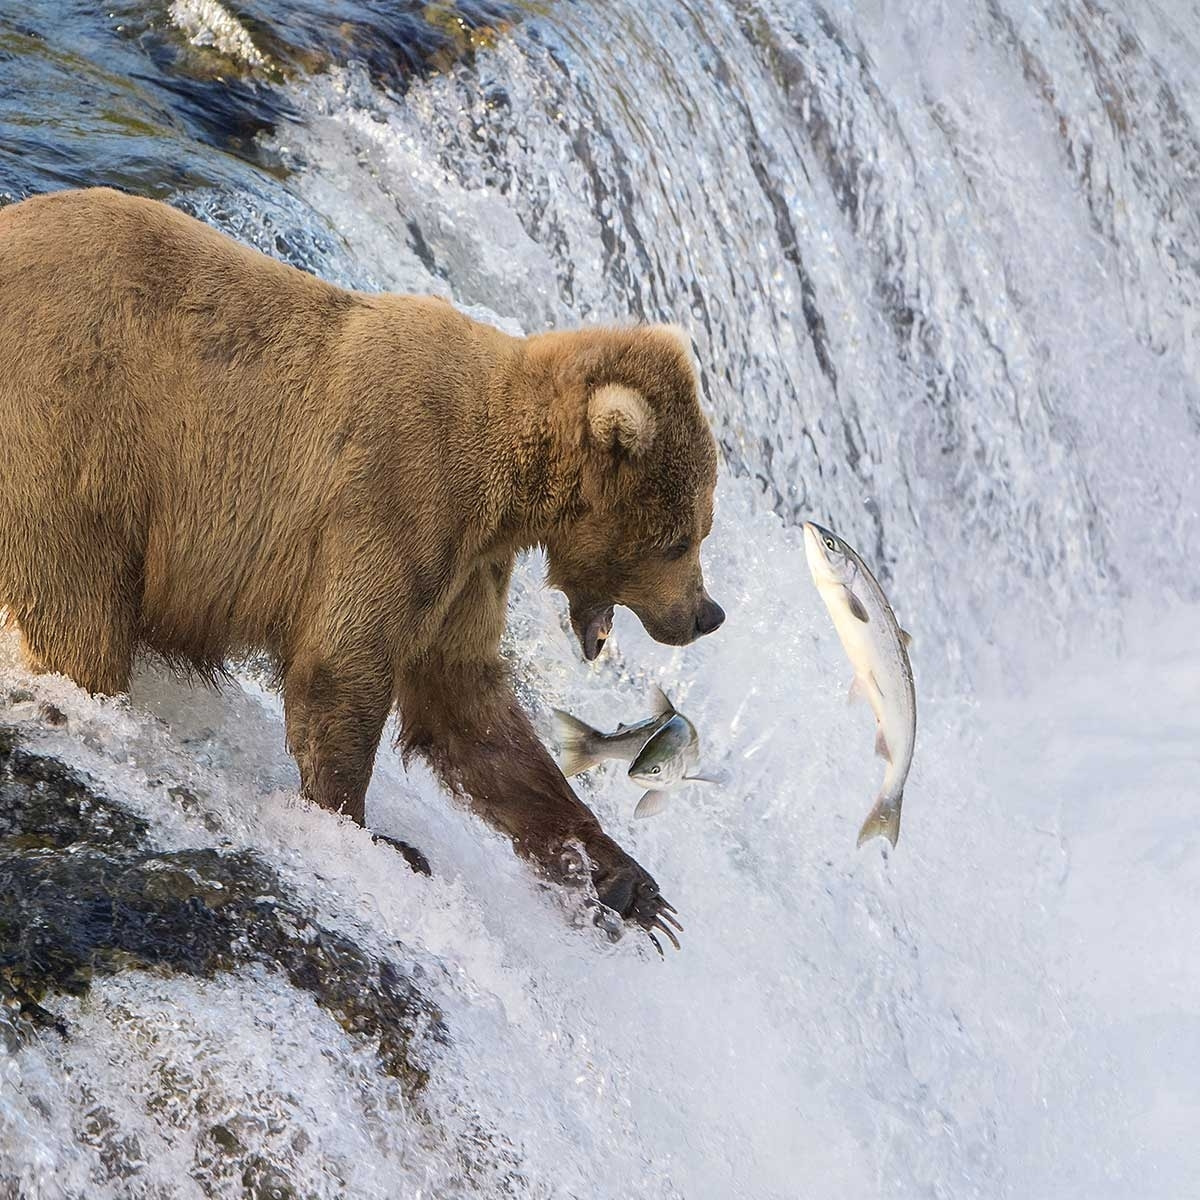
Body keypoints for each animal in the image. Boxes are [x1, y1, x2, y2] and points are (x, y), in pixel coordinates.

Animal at [0, 187, 720, 940]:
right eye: (681, 539)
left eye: (701, 527)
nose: (707, 613)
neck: (512, 478)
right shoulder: (398, 497)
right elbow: (344, 666)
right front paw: (367, 832)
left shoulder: (469, 568)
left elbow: (466, 706)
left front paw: (629, 885)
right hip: (76, 427)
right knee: (79, 608)